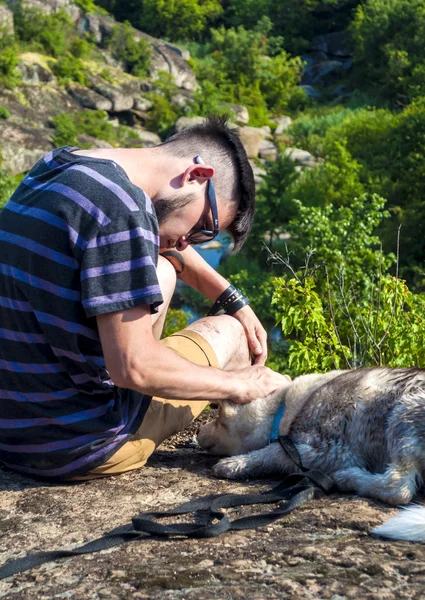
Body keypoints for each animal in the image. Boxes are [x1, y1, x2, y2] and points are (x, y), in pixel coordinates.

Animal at [196, 368, 425, 540]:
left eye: (218, 415)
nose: (197, 431)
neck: (284, 407)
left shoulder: (332, 450)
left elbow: (273, 452)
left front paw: (235, 463)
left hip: (403, 412)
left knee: (398, 488)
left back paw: (349, 478)